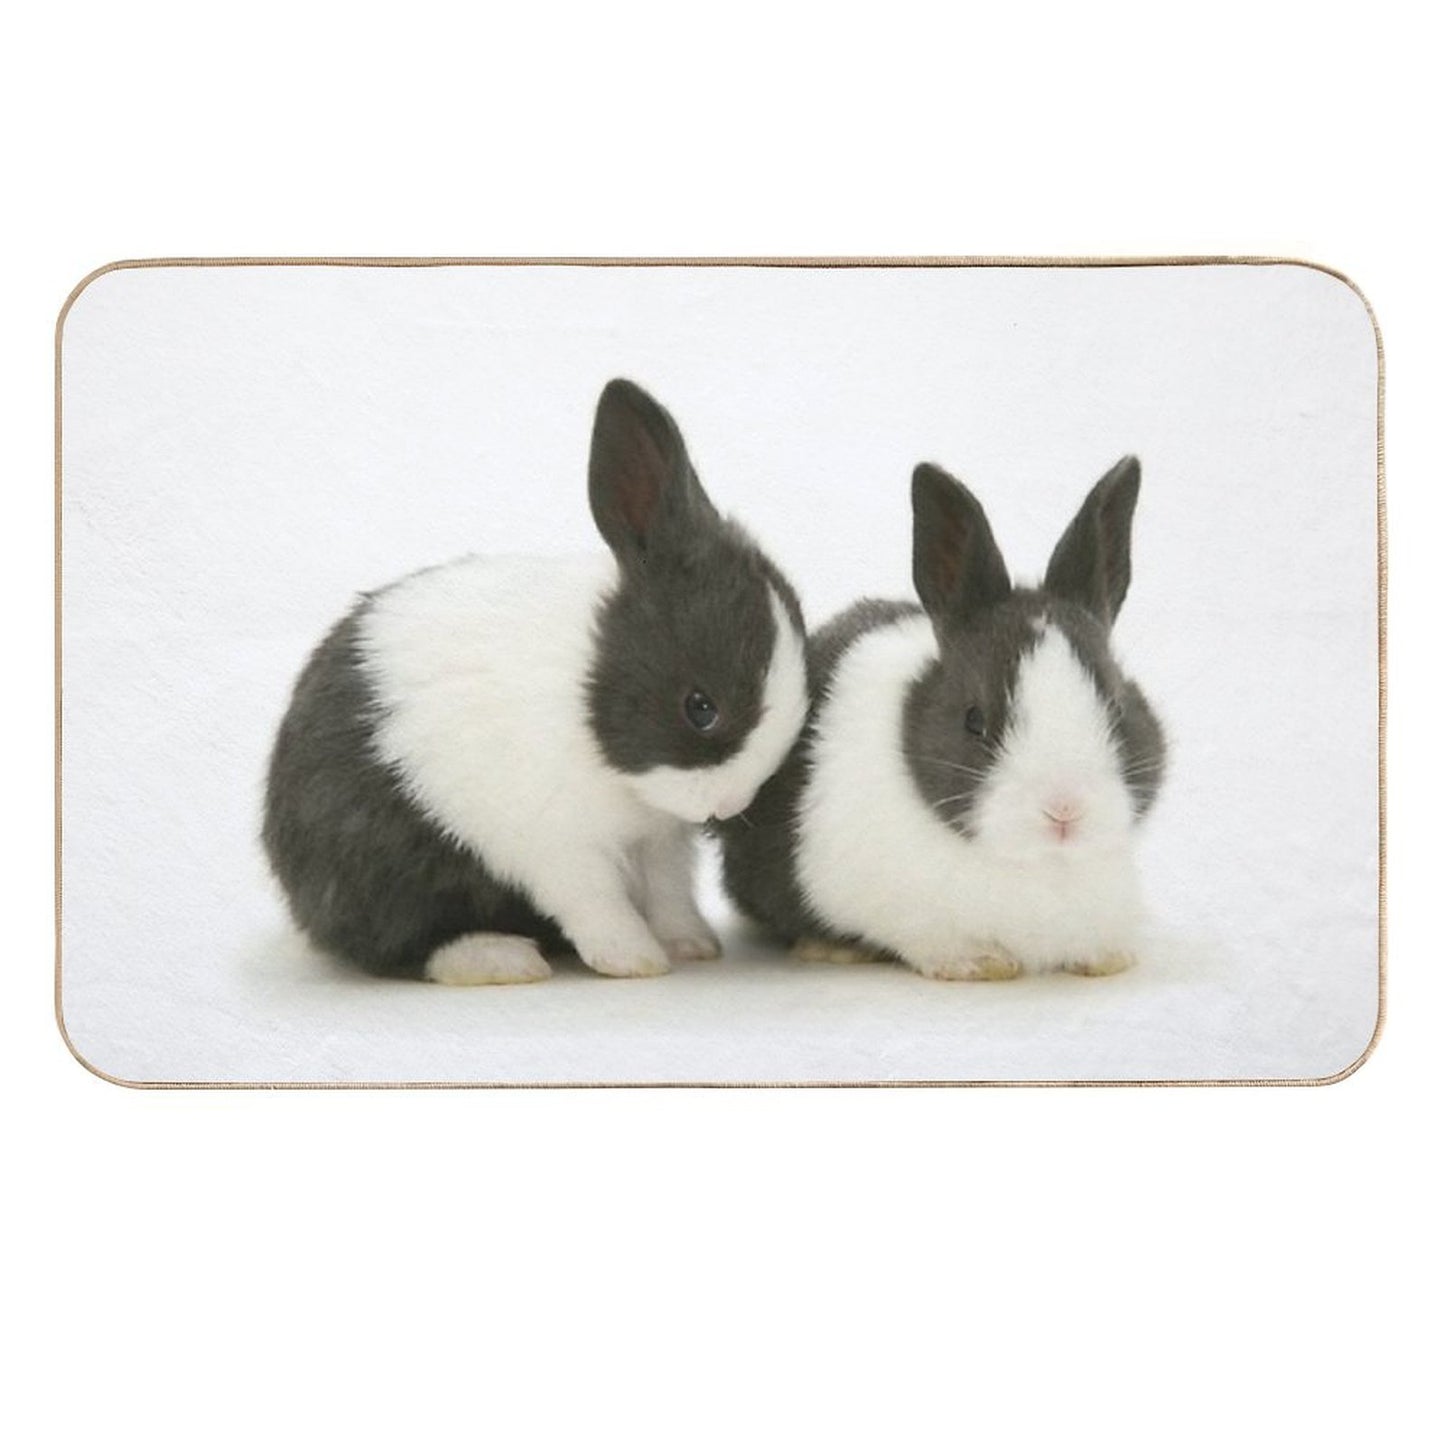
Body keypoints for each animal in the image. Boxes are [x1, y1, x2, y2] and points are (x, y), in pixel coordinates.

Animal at [263, 378, 809, 984]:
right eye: (701, 707)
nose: (725, 805)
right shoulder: (555, 844)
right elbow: (595, 900)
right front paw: (634, 959)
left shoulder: (659, 839)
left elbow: (669, 893)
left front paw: (691, 944)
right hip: (383, 866)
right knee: (398, 941)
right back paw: (500, 958)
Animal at [716, 455, 1165, 981]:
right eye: (974, 720)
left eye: (1116, 705)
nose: (1064, 809)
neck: (1038, 863)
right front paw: (980, 964)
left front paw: (1109, 959)